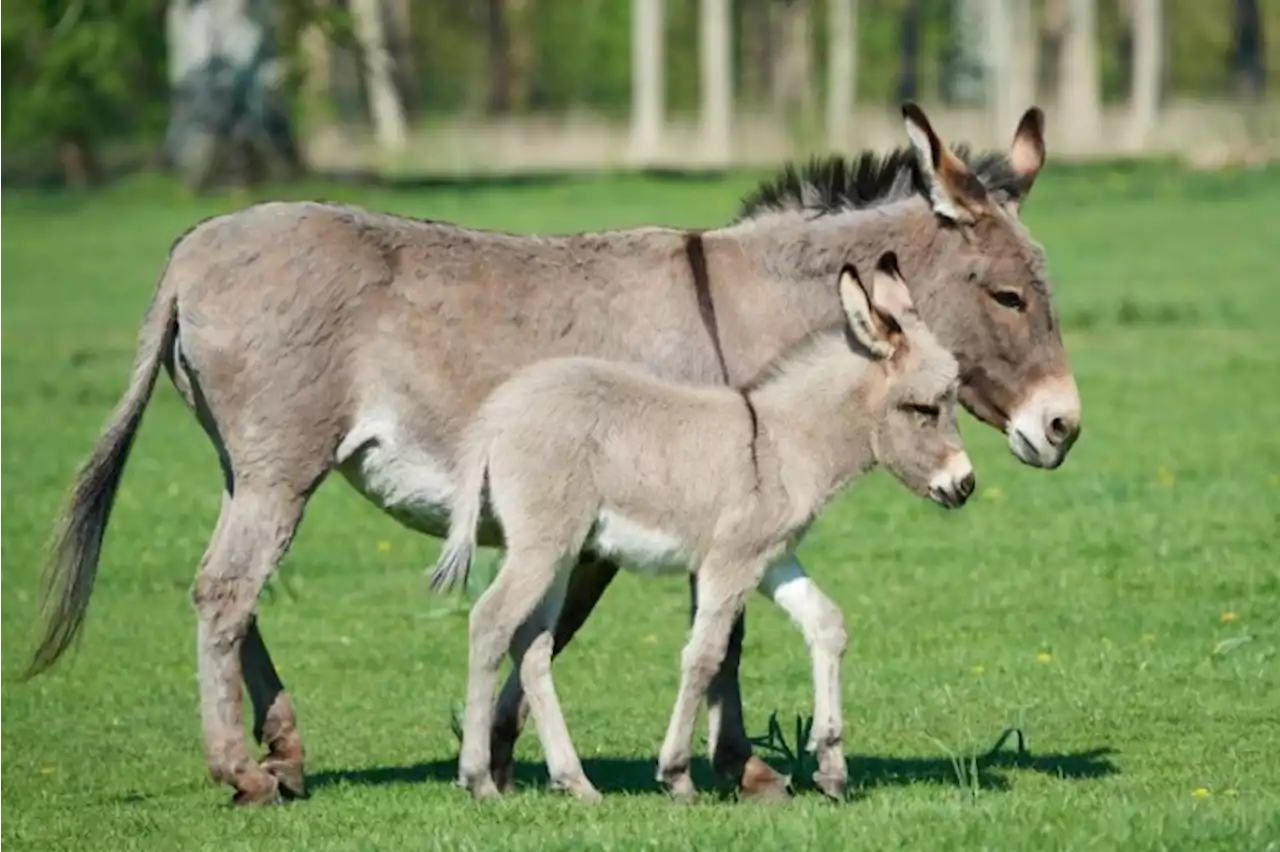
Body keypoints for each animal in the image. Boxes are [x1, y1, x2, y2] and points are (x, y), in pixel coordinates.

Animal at [435, 252, 972, 803]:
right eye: (923, 408)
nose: (965, 484)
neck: (780, 442)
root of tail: (497, 413)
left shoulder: (772, 558)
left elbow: (827, 624)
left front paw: (832, 768)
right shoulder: (730, 562)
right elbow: (705, 655)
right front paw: (676, 774)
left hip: (559, 551)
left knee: (533, 644)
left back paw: (575, 782)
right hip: (542, 545)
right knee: (490, 621)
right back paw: (479, 778)